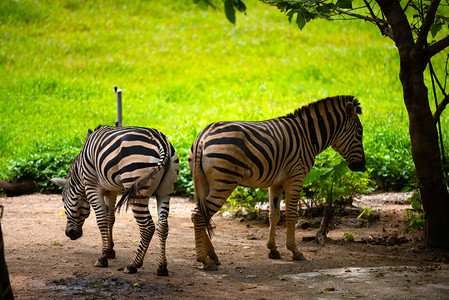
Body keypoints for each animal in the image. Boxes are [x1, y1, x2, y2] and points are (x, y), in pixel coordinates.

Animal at [50, 125, 178, 276]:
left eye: (63, 199)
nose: (69, 234)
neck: (80, 173)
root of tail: (161, 141)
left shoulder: (92, 187)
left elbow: (101, 220)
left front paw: (103, 257)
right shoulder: (111, 190)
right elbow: (110, 219)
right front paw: (110, 251)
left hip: (136, 187)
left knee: (147, 227)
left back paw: (133, 264)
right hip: (165, 191)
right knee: (163, 225)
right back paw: (162, 267)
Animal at [188, 95, 364, 270]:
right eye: (360, 133)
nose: (362, 166)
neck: (307, 135)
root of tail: (202, 138)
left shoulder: (276, 182)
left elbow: (274, 215)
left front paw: (273, 250)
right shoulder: (296, 175)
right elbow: (291, 214)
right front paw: (295, 251)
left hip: (205, 182)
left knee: (199, 213)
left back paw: (213, 256)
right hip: (224, 181)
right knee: (199, 215)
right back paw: (204, 260)